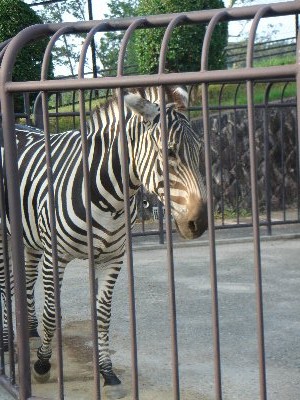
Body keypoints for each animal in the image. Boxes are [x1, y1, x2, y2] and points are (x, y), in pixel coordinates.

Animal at [0, 86, 206, 396]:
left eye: (200, 151)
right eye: (169, 152)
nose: (200, 222)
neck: (110, 197)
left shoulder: (113, 258)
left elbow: (103, 315)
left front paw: (108, 373)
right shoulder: (56, 255)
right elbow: (52, 312)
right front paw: (43, 364)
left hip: (30, 238)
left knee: (24, 281)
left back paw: (31, 332)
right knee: (5, 286)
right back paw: (5, 343)